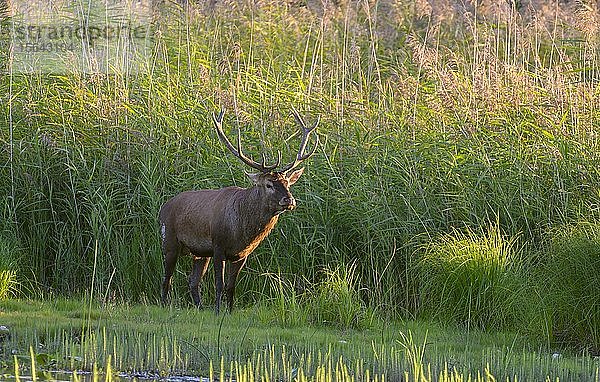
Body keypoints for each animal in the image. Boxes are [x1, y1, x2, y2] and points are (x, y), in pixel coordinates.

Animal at [158, 109, 318, 314]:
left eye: (287, 183)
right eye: (268, 184)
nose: (289, 200)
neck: (241, 232)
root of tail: (163, 207)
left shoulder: (242, 254)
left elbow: (231, 286)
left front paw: (230, 311)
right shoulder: (218, 246)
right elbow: (219, 283)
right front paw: (218, 312)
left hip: (199, 252)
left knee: (193, 281)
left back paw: (199, 307)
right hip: (169, 240)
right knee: (167, 278)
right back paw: (164, 305)